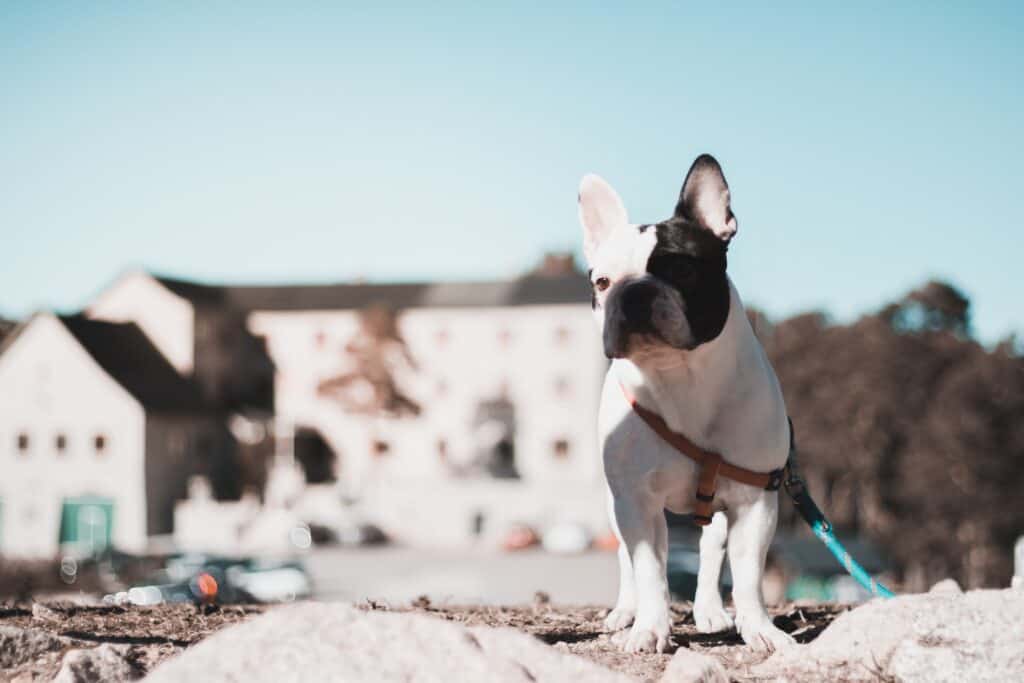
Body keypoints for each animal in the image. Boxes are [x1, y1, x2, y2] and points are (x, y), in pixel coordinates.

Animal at [581, 153, 794, 651]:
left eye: (682, 271)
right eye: (601, 282)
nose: (634, 290)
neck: (680, 375)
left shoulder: (755, 501)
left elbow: (749, 576)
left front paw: (760, 629)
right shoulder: (636, 501)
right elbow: (649, 570)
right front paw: (649, 629)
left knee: (711, 551)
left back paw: (711, 611)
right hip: (618, 507)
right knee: (628, 560)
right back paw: (626, 612)